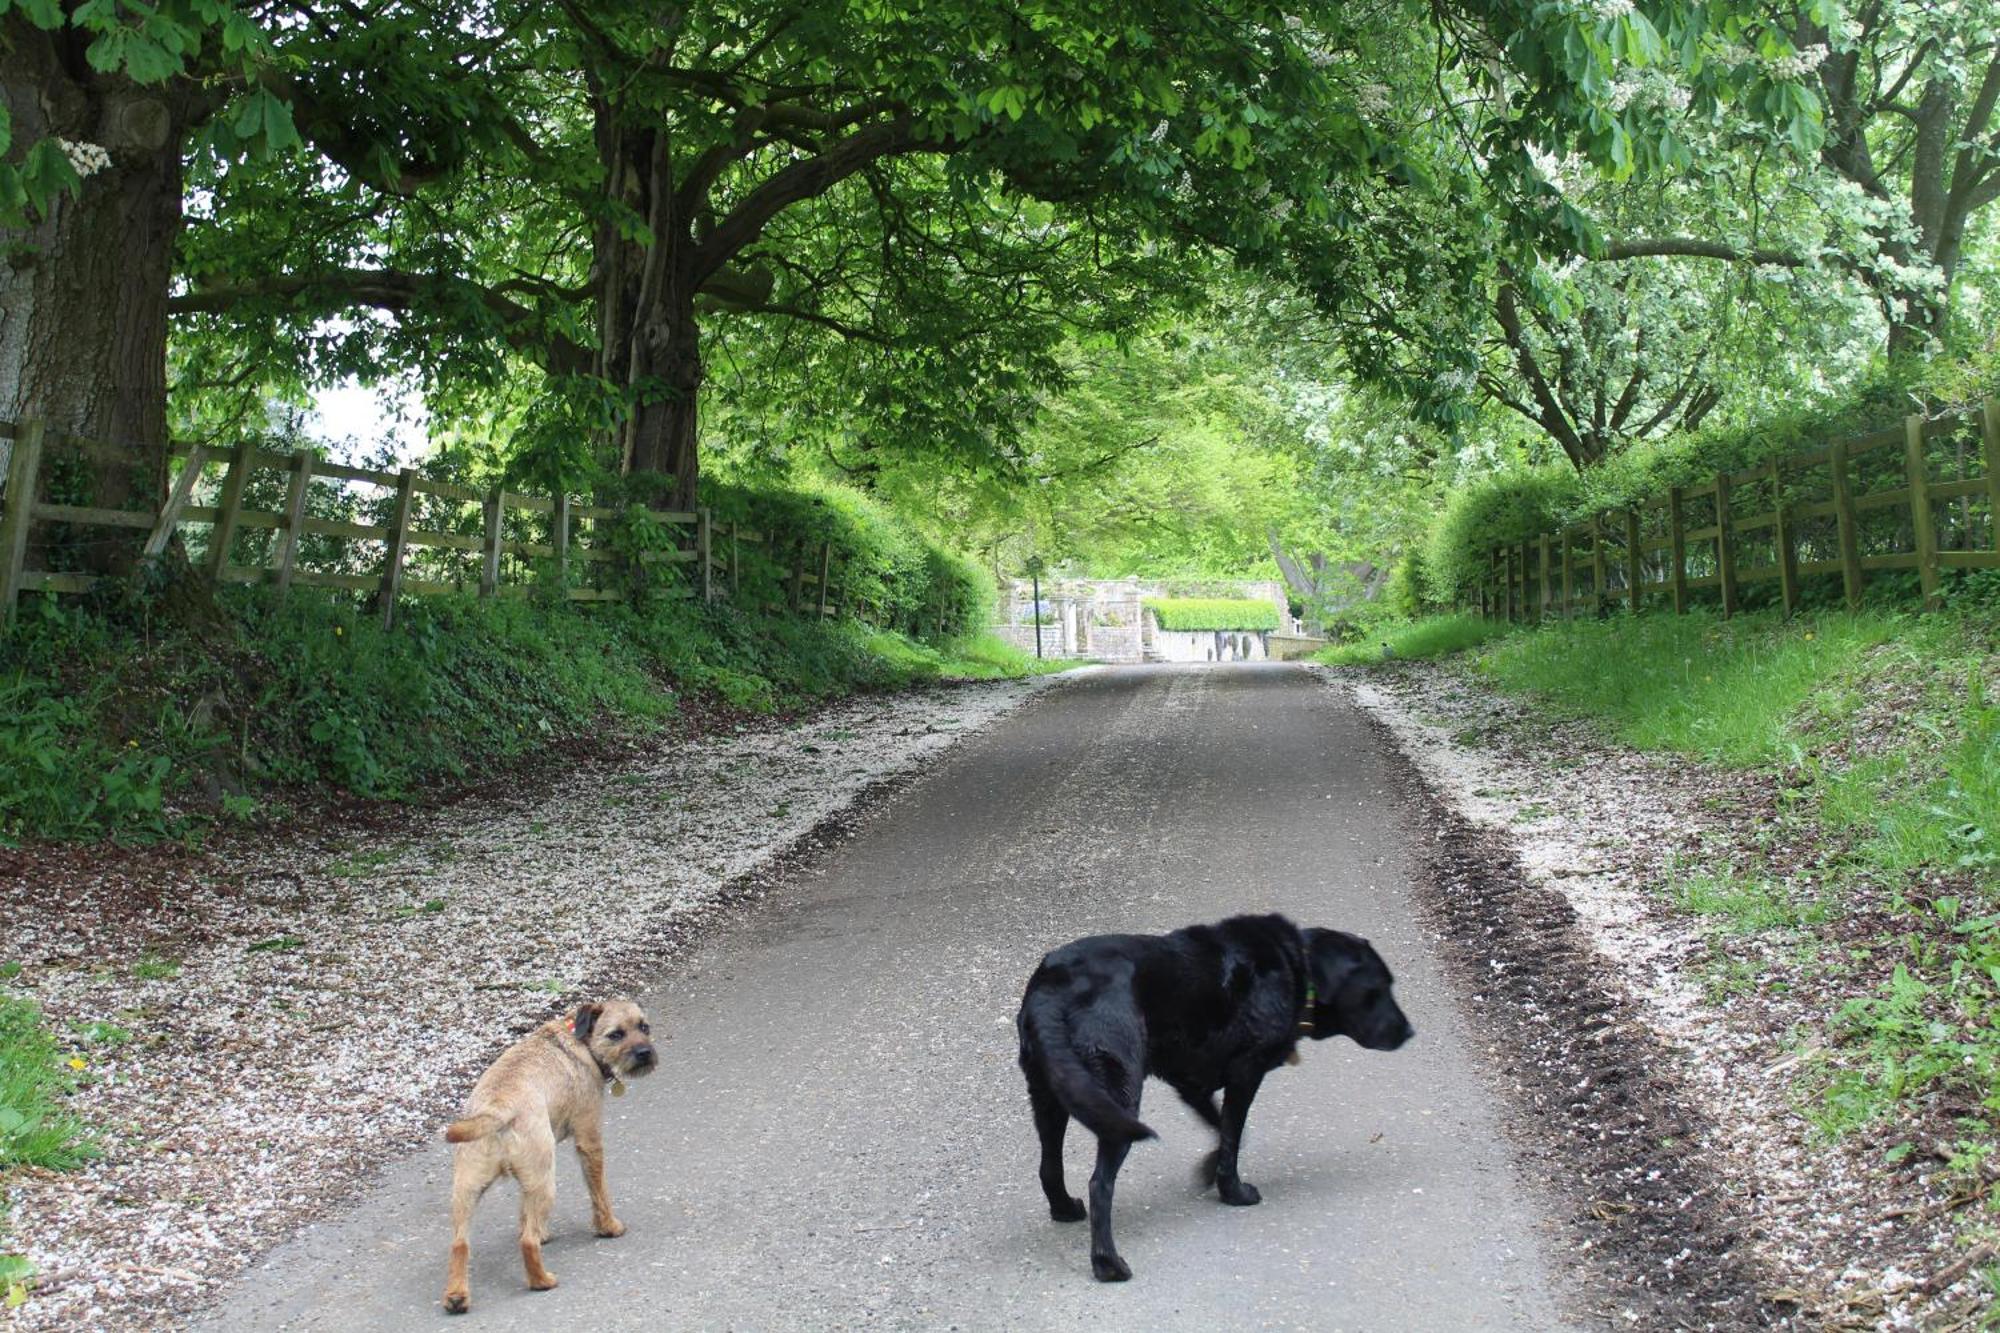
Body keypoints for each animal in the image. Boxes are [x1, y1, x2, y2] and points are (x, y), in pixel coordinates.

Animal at [442, 996, 660, 1304]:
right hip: (545, 1182)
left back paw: (457, 1296)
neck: (580, 1042)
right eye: (616, 1034)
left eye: (644, 1027)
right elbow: (599, 1192)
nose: (644, 1052)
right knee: (527, 1243)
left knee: (460, 1244)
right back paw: (542, 1281)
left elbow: (525, 1213)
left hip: (468, 1189)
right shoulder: (589, 1140)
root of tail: (497, 1108)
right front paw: (608, 1227)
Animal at [1016, 908, 1424, 1272]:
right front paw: (1234, 1192)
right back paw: (1108, 1265)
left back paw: (1065, 1209)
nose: (1409, 1032)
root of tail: (1051, 990)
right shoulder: (1245, 1073)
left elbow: (1226, 1132)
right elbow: (1233, 1137)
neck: (1298, 966)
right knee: (1100, 1185)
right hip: (1119, 1100)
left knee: (1049, 1166)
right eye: (1377, 989)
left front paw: (1208, 1170)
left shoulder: (1192, 1081)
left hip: (1054, 1095)